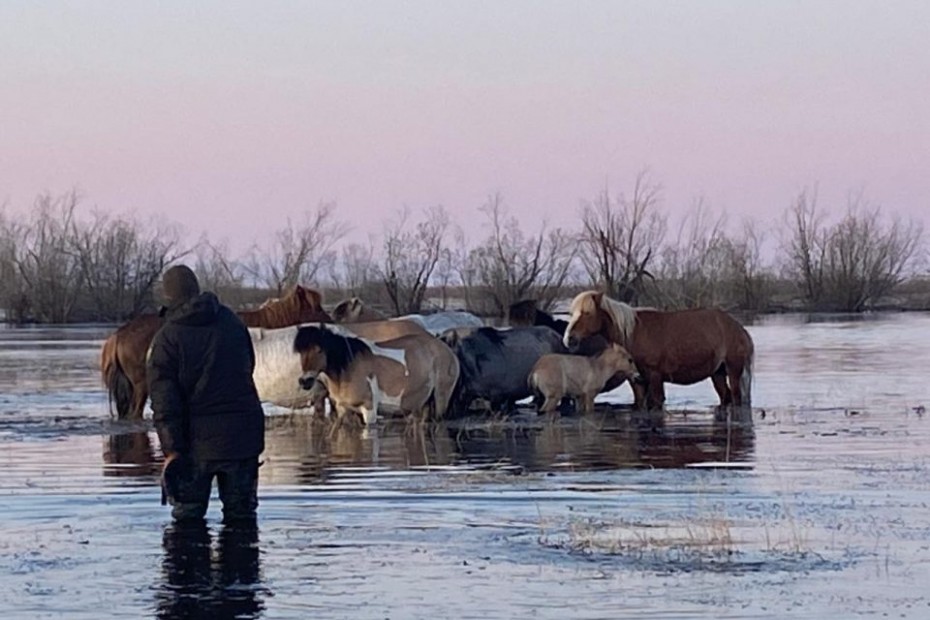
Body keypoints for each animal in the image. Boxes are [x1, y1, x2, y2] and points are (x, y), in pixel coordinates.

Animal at [294, 324, 460, 426]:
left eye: (319, 350)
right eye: (300, 351)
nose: (304, 381)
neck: (348, 367)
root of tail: (447, 349)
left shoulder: (369, 411)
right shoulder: (343, 410)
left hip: (441, 399)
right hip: (423, 404)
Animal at [560, 290, 752, 412]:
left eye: (587, 313)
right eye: (571, 313)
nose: (569, 339)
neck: (635, 333)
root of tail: (738, 328)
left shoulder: (655, 377)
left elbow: (657, 402)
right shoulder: (638, 381)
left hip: (733, 371)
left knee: (736, 396)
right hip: (717, 374)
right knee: (725, 396)